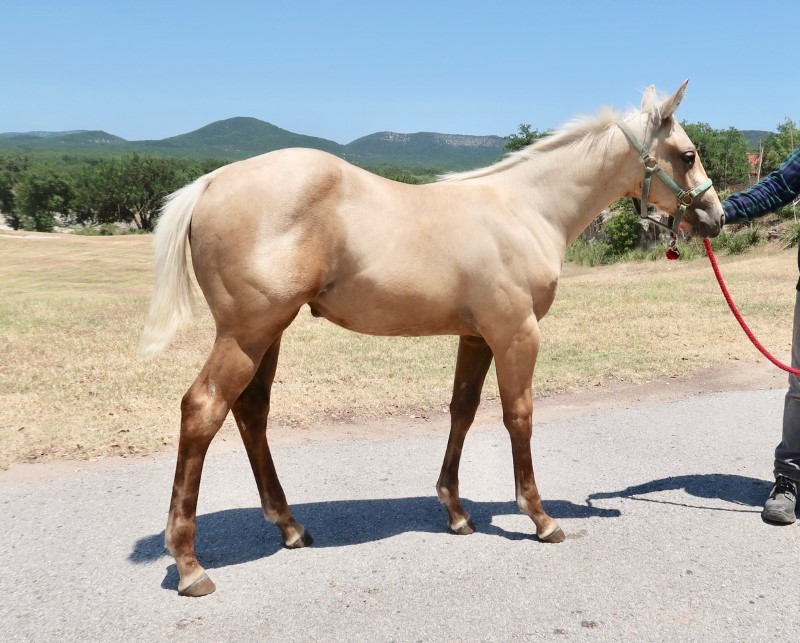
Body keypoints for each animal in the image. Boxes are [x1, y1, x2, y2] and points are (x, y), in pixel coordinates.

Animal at [141, 82, 720, 600]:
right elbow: (519, 417)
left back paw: (289, 527)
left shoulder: (476, 337)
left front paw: (456, 512)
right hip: (246, 334)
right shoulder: (516, 334)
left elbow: (462, 411)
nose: (714, 216)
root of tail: (211, 182)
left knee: (250, 412)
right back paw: (190, 566)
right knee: (203, 410)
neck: (525, 209)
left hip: (267, 333)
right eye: (688, 154)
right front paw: (540, 517)